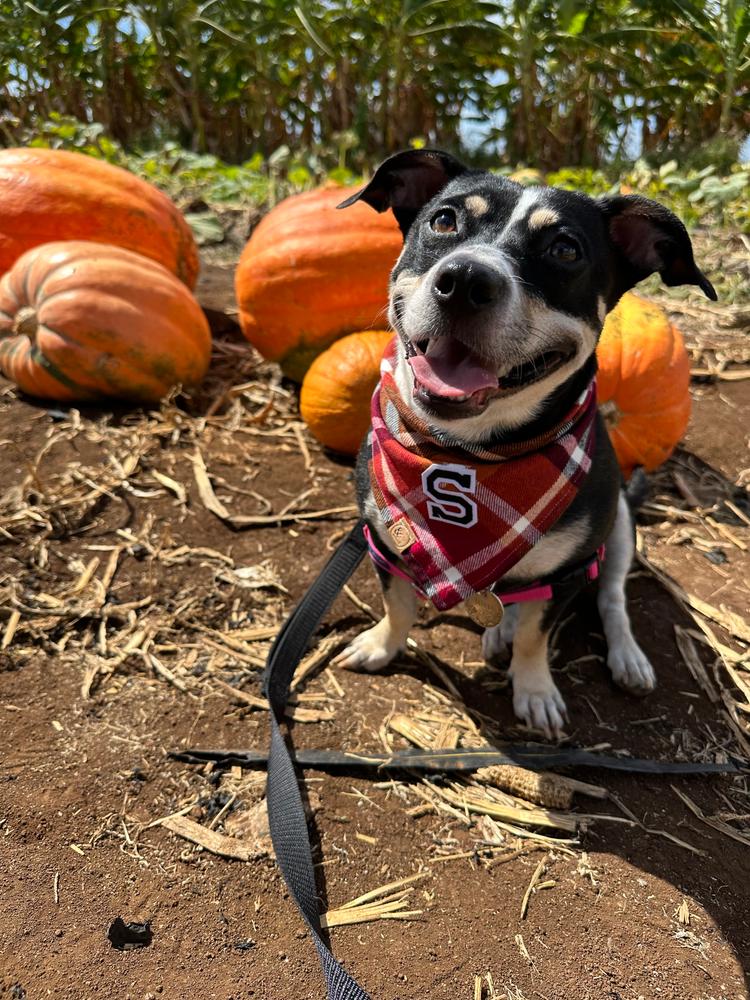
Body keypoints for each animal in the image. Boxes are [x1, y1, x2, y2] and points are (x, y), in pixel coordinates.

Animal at [330, 150, 716, 744]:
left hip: (620, 531)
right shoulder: (383, 539)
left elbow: (540, 633)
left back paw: (624, 657)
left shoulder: (570, 570)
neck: (469, 455)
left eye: (565, 249)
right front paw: (381, 645)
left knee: (612, 600)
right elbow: (397, 604)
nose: (465, 279)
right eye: (444, 220)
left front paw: (535, 691)